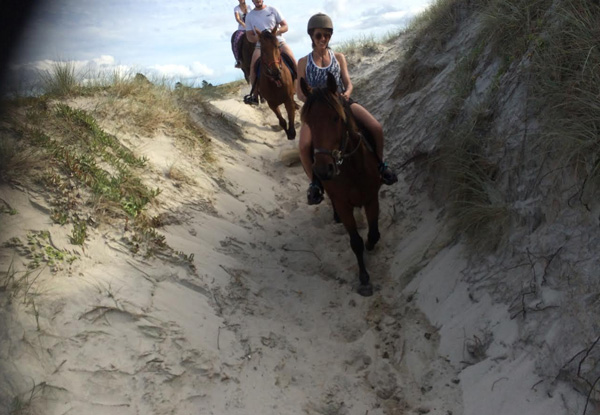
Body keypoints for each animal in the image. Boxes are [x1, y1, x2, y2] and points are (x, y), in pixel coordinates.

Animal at [298, 73, 380, 298]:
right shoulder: (344, 205)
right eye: (308, 122)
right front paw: (364, 280)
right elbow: (355, 242)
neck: (353, 168)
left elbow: (373, 232)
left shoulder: (371, 197)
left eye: (336, 118)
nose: (323, 169)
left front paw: (371, 244)